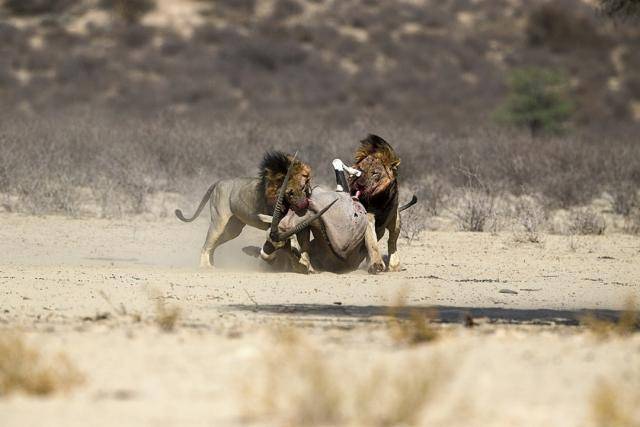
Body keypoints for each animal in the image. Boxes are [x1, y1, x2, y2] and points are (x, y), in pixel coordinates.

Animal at [175, 151, 316, 270]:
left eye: (304, 186)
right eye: (290, 192)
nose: (303, 204)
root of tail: (218, 182)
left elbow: (300, 240)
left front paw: (305, 262)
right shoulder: (273, 221)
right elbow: (287, 233)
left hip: (233, 229)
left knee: (213, 245)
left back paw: (213, 264)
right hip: (219, 222)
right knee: (206, 245)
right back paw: (206, 267)